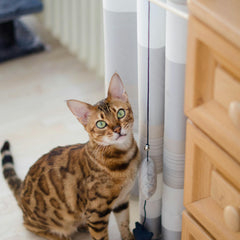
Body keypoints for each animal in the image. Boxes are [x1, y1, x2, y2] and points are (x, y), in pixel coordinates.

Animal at [1, 73, 141, 240]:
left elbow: (124, 224)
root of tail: (22, 188)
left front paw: (129, 237)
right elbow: (101, 237)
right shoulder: (96, 212)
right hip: (49, 221)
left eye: (120, 113)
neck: (125, 158)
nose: (117, 129)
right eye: (101, 124)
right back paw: (61, 235)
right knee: (29, 225)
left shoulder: (122, 201)